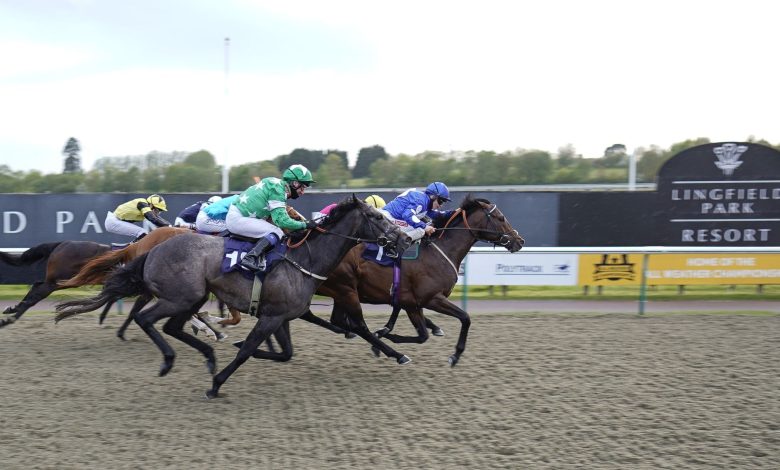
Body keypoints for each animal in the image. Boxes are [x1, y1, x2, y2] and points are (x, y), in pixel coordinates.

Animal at [0, 227, 192, 328]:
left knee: (37, 286)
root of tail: (62, 243)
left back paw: (12, 312)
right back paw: (12, 315)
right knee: (38, 292)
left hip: (61, 280)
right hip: (60, 280)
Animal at [53, 195, 414, 396]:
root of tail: (151, 247)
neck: (304, 258)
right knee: (146, 318)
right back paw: (171, 359)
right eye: (377, 216)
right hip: (180, 297)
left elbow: (284, 353)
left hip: (193, 297)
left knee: (171, 326)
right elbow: (248, 351)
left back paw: (208, 354)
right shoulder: (271, 316)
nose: (405, 239)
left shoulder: (280, 316)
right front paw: (217, 384)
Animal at [316, 195, 524, 368]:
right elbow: (464, 318)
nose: (519, 240)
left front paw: (387, 334)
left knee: (339, 320)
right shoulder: (430, 299)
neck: (439, 251)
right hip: (346, 290)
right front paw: (455, 355)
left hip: (343, 292)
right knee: (357, 325)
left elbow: (422, 333)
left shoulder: (410, 302)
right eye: (500, 218)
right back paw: (394, 353)